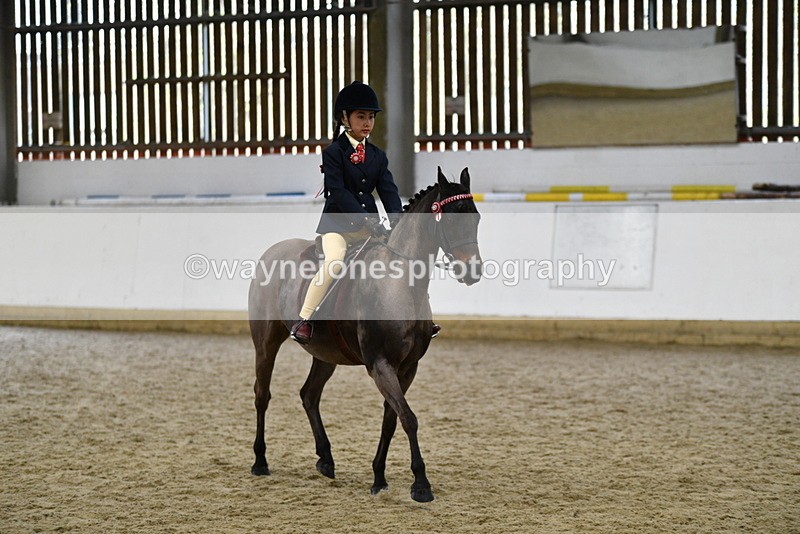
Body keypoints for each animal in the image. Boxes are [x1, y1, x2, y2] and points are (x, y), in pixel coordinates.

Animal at [247, 167, 482, 502]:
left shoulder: (407, 368)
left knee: (309, 395)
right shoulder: (380, 365)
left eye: (476, 218)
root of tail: (272, 251)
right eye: (450, 219)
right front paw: (421, 484)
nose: (472, 271)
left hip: (325, 354)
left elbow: (392, 420)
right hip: (266, 343)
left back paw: (326, 459)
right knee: (262, 394)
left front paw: (379, 478)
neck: (401, 283)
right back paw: (260, 461)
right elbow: (408, 418)